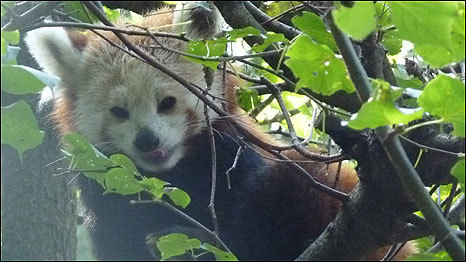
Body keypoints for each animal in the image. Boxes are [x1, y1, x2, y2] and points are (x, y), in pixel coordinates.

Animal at [24, 3, 416, 260]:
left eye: (167, 102)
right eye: (119, 112)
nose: (147, 140)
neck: (175, 173)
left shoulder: (239, 165)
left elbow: (247, 222)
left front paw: (198, 239)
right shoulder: (110, 199)